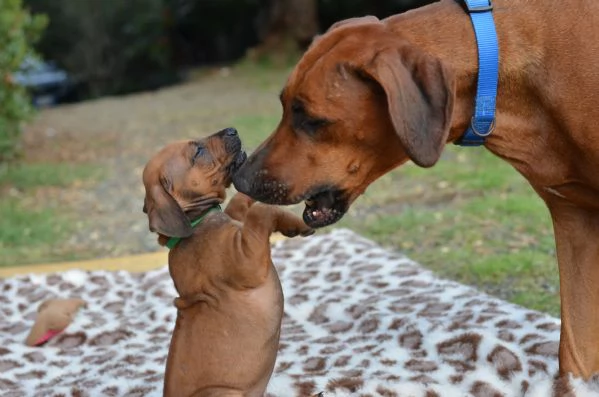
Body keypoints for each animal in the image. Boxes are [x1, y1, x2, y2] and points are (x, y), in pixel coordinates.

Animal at [142, 127, 314, 396]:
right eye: (197, 152)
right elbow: (259, 211)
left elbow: (240, 202)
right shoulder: (247, 260)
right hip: (224, 392)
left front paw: (292, 223)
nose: (232, 130)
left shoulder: (238, 224)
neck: (196, 221)